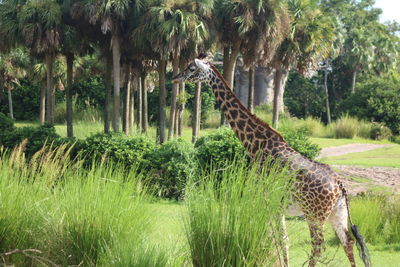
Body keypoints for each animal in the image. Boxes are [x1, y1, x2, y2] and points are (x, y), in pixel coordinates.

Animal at [172, 58, 372, 267]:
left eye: (191, 68)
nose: (175, 78)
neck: (257, 145)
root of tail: (341, 186)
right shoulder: (276, 205)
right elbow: (282, 240)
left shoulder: (266, 199)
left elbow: (274, 239)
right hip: (337, 213)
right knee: (348, 242)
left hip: (315, 214)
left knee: (319, 246)